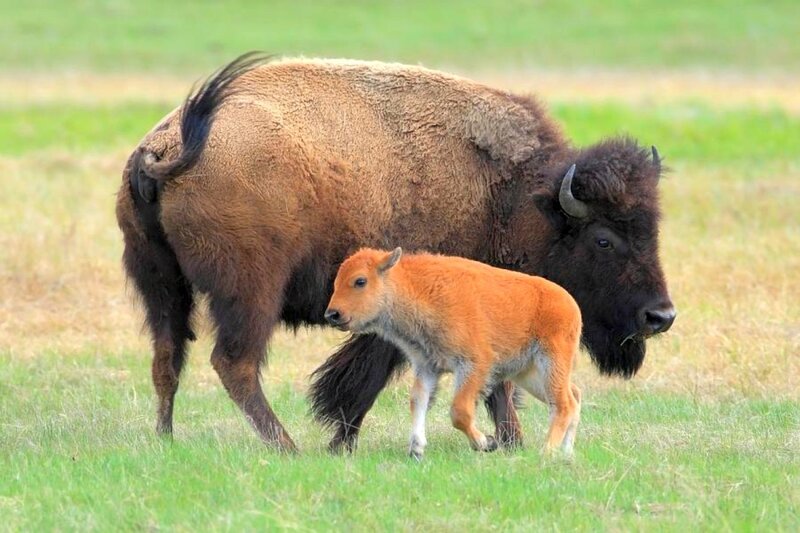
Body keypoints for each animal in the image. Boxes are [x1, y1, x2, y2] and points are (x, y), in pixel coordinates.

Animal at [325, 247, 583, 459]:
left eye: (360, 281)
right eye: (337, 281)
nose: (332, 314)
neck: (418, 288)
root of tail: (569, 303)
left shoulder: (473, 365)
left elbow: (460, 411)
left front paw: (486, 443)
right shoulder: (427, 366)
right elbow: (418, 400)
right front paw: (416, 449)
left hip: (551, 362)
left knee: (564, 404)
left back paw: (546, 453)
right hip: (529, 375)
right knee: (574, 396)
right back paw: (566, 453)